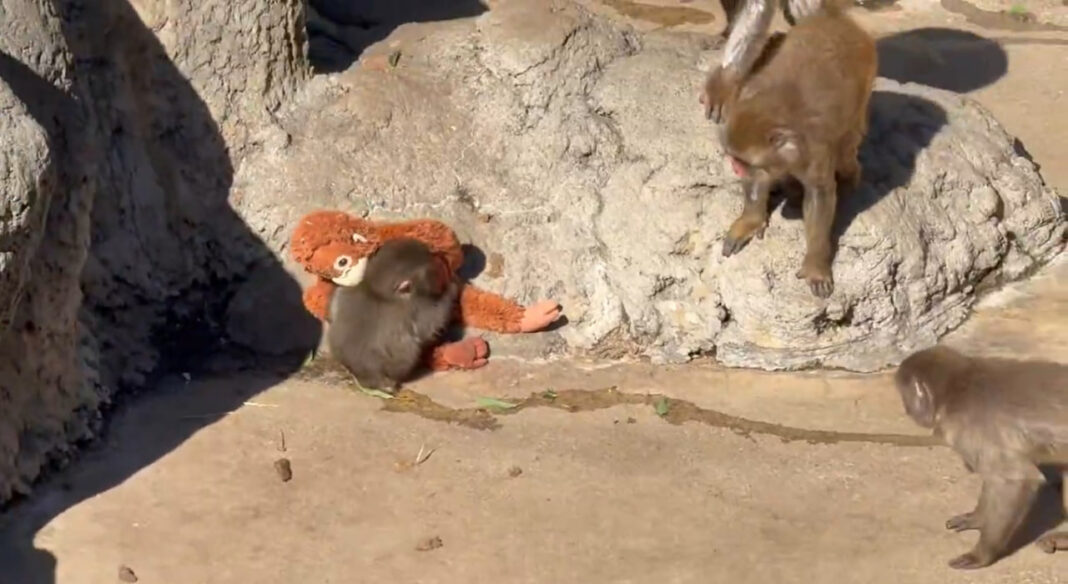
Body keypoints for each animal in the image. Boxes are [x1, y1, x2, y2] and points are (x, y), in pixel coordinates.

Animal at [327, 237, 462, 393]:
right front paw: (452, 288)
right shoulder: (418, 306)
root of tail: (364, 376)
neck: (376, 291)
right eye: (432, 268)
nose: (439, 256)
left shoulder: (345, 290)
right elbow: (431, 326)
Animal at [717, 2, 875, 298]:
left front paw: (816, 263)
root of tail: (836, 21)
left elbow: (820, 195)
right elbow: (758, 181)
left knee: (848, 144)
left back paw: (849, 174)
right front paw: (750, 220)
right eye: (737, 160)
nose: (735, 168)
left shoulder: (814, 150)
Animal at [894, 345, 1068, 570]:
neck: (958, 387)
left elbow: (1014, 480)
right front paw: (977, 518)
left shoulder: (969, 425)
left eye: (906, 396)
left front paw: (981, 555)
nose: (907, 409)